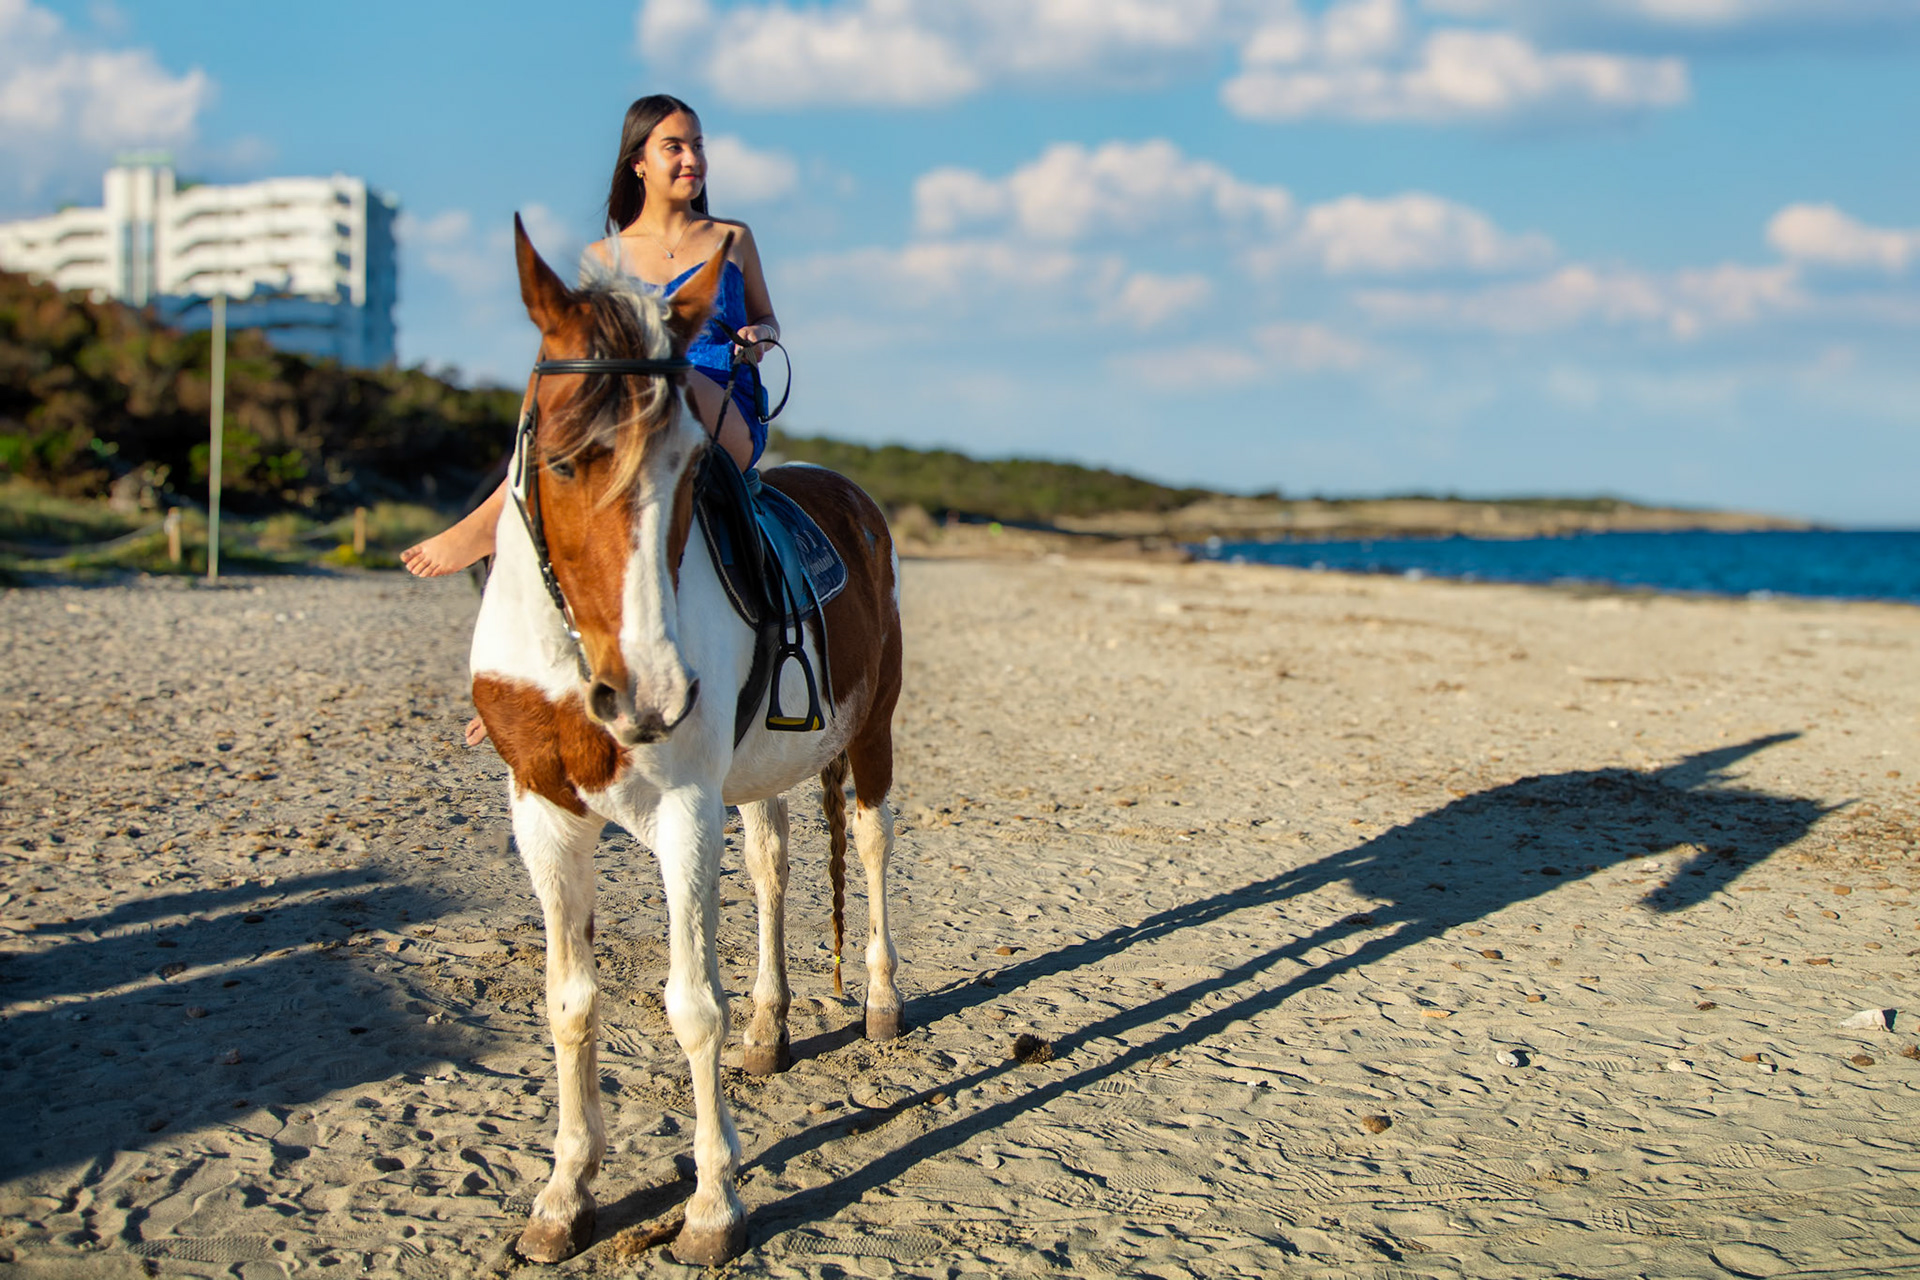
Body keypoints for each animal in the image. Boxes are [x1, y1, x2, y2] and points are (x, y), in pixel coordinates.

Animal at [468, 217, 905, 1266]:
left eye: (691, 471)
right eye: (564, 462)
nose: (652, 696)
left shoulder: (682, 812)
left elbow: (690, 1005)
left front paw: (712, 1206)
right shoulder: (542, 812)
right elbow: (570, 1000)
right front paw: (565, 1193)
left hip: (872, 730)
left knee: (871, 845)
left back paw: (880, 1002)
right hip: (760, 771)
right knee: (775, 863)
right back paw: (772, 1031)